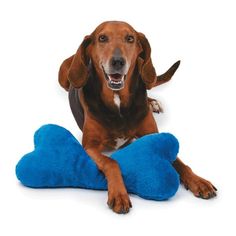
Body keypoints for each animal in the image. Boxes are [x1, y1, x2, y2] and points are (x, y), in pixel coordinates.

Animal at [58, 21, 217, 214]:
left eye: (130, 38)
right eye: (102, 38)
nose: (118, 62)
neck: (118, 99)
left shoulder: (153, 135)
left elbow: (179, 161)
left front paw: (198, 181)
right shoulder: (89, 147)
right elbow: (111, 162)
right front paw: (119, 194)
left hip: (144, 69)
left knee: (149, 81)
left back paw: (153, 102)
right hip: (63, 76)